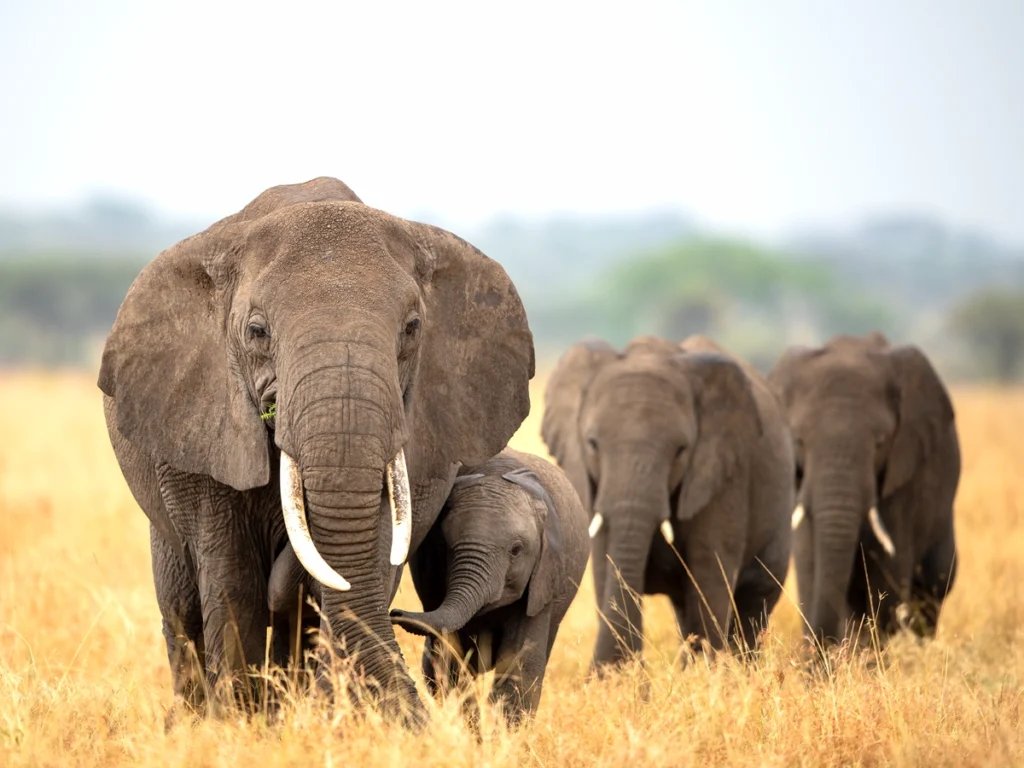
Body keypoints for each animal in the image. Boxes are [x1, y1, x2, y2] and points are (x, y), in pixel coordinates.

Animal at [99, 177, 536, 724]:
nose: (426, 723)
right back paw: (192, 721)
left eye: (413, 328)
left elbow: (367, 563)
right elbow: (231, 577)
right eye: (256, 331)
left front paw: (328, 720)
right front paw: (238, 727)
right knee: (181, 606)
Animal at [540, 333, 794, 671]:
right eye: (592, 444)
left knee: (754, 605)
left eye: (681, 450)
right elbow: (605, 561)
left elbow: (709, 570)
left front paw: (702, 677)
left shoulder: (723, 476)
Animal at [770, 331, 962, 651]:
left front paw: (862, 656)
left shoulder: (903, 474)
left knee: (934, 583)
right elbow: (809, 562)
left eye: (880, 442)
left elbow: (887, 574)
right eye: (798, 440)